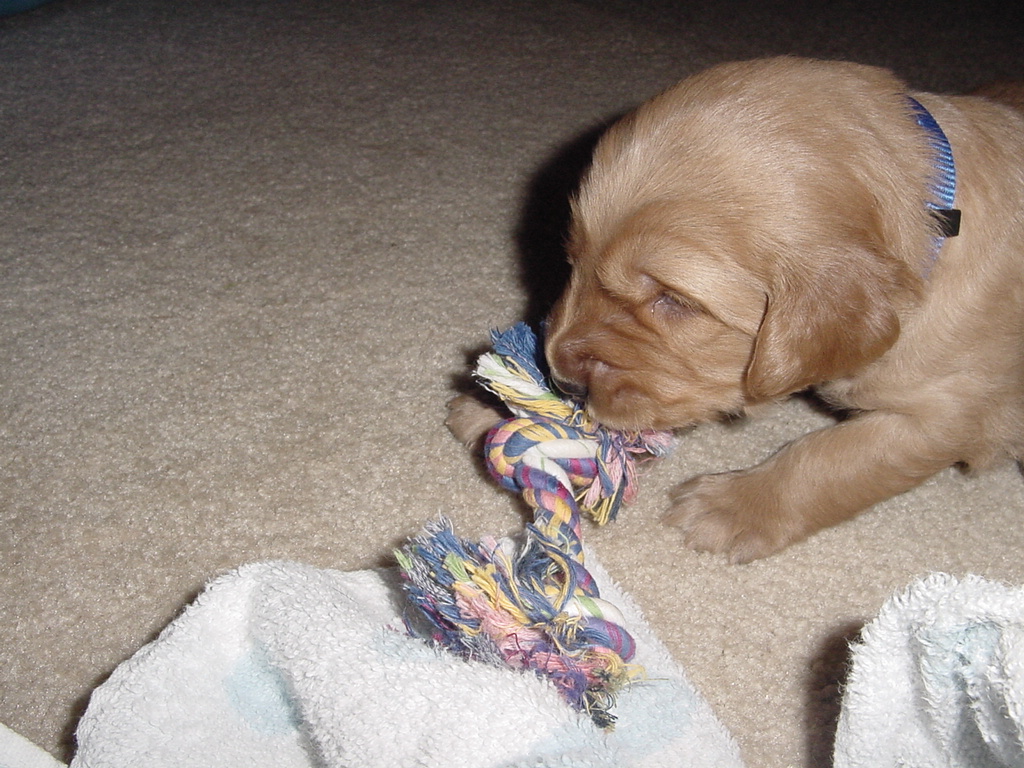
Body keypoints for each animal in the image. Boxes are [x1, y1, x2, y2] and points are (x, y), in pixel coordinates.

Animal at [452, 57, 1024, 561]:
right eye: (572, 258)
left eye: (675, 301)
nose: (564, 383)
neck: (940, 224)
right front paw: (499, 405)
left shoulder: (944, 415)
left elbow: (831, 458)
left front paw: (733, 506)